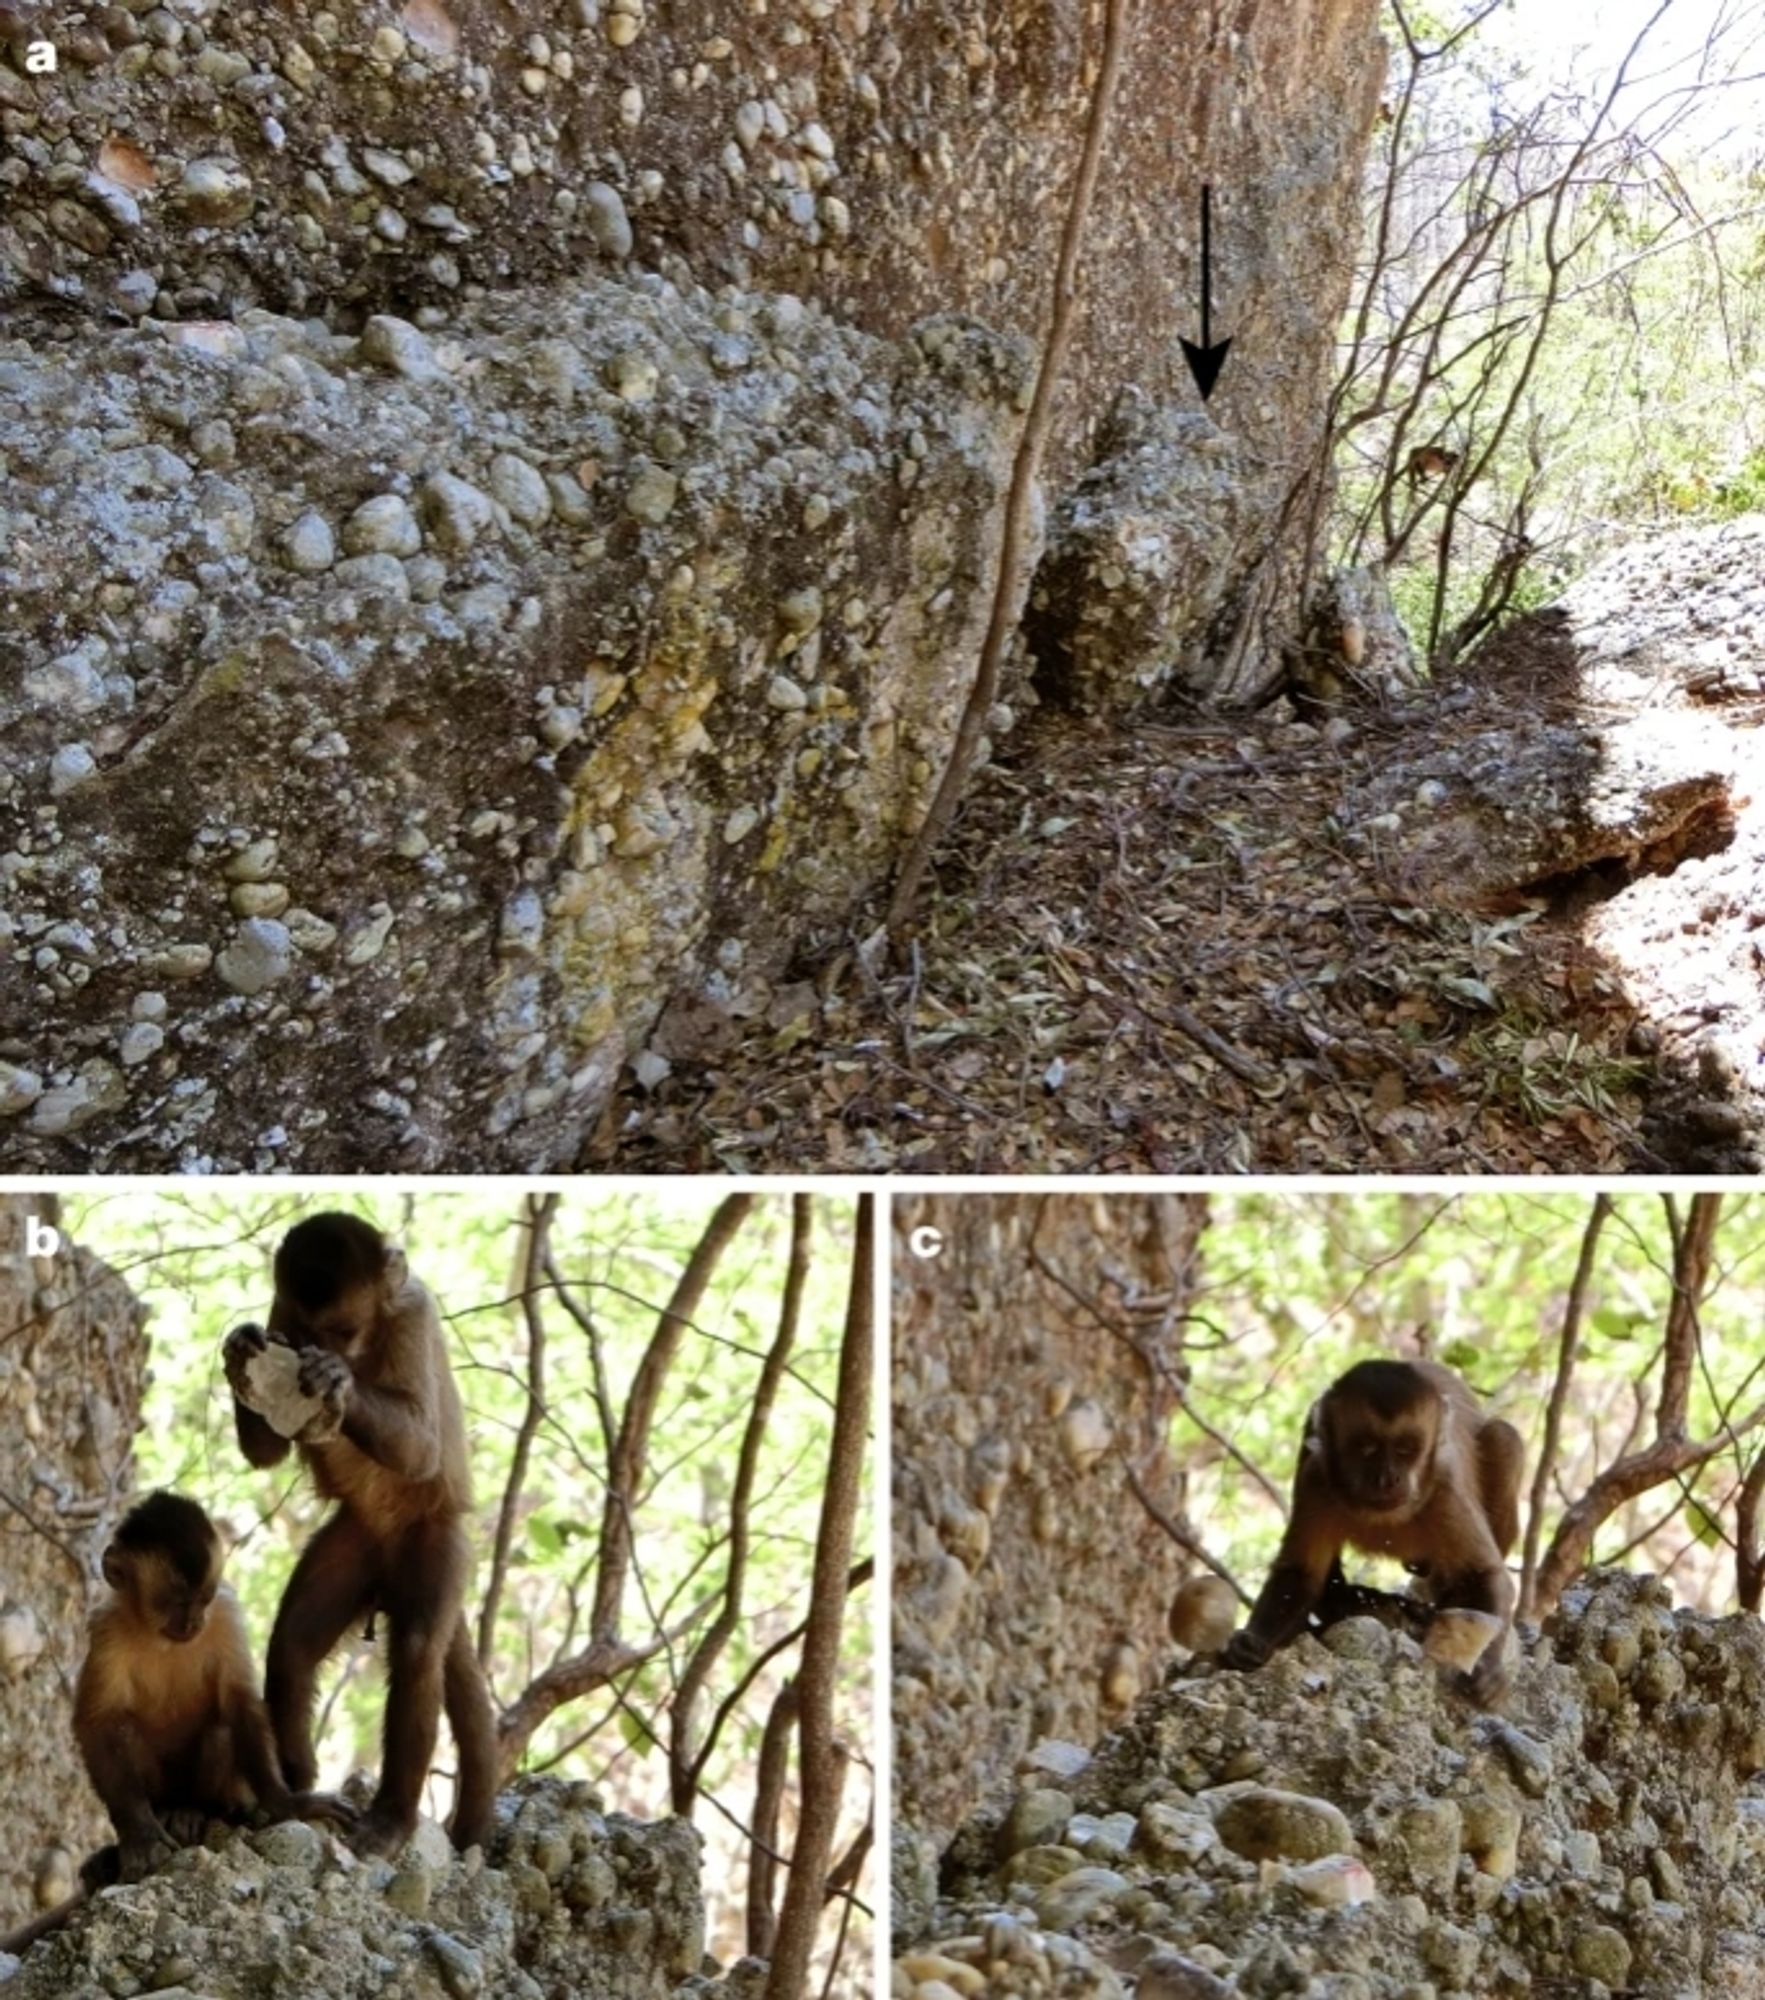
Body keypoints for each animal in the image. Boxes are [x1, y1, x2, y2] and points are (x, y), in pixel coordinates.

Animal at [0, 1504, 350, 1952]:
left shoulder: (225, 1613)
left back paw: (195, 1813)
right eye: (175, 1602)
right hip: (160, 1786)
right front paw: (139, 1837)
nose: (193, 1622)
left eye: (204, 1598)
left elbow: (240, 1704)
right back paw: (146, 1829)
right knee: (127, 1733)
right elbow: (98, 1722)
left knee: (221, 1731)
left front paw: (287, 1804)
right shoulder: (107, 1626)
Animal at [222, 1208, 496, 1864]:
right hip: (356, 1542)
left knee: (420, 1649)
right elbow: (266, 1451)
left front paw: (337, 1382)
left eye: (345, 1329)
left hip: (435, 1539)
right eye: (305, 1328)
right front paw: (239, 1354)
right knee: (292, 1648)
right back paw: (295, 1792)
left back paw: (391, 1818)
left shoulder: (414, 1313)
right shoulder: (282, 1307)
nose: (325, 1352)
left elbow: (421, 1448)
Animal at [1216, 1360, 1520, 1704]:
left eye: (1405, 1450)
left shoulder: (1445, 1490)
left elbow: (1484, 1574)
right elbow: (1300, 1573)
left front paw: (1488, 1670)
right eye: (1367, 1448)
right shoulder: (1317, 1479)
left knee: (1504, 1438)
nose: (1388, 1478)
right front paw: (1252, 1643)